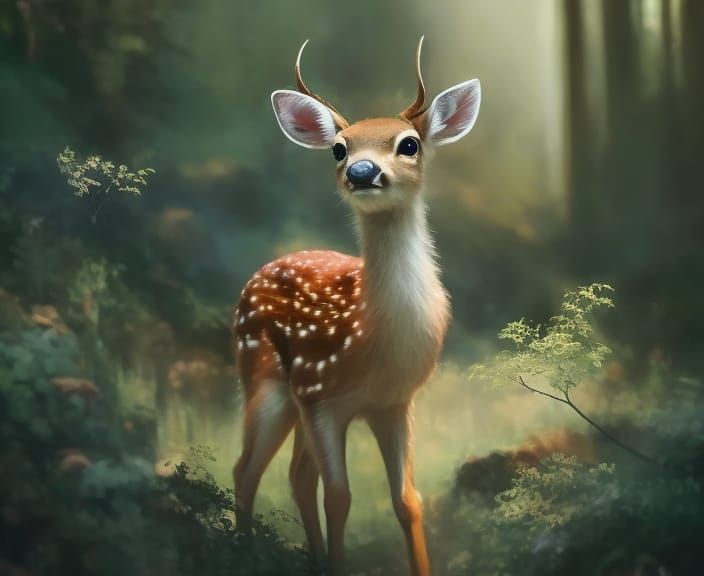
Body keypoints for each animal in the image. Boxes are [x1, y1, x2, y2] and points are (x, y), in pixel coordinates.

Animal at [233, 37, 480, 576]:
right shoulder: (322, 398)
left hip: (294, 401)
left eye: (409, 144)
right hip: (265, 377)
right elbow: (340, 497)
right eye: (339, 148)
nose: (361, 171)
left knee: (295, 474)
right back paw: (241, 550)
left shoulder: (396, 402)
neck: (372, 342)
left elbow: (407, 500)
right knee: (247, 470)